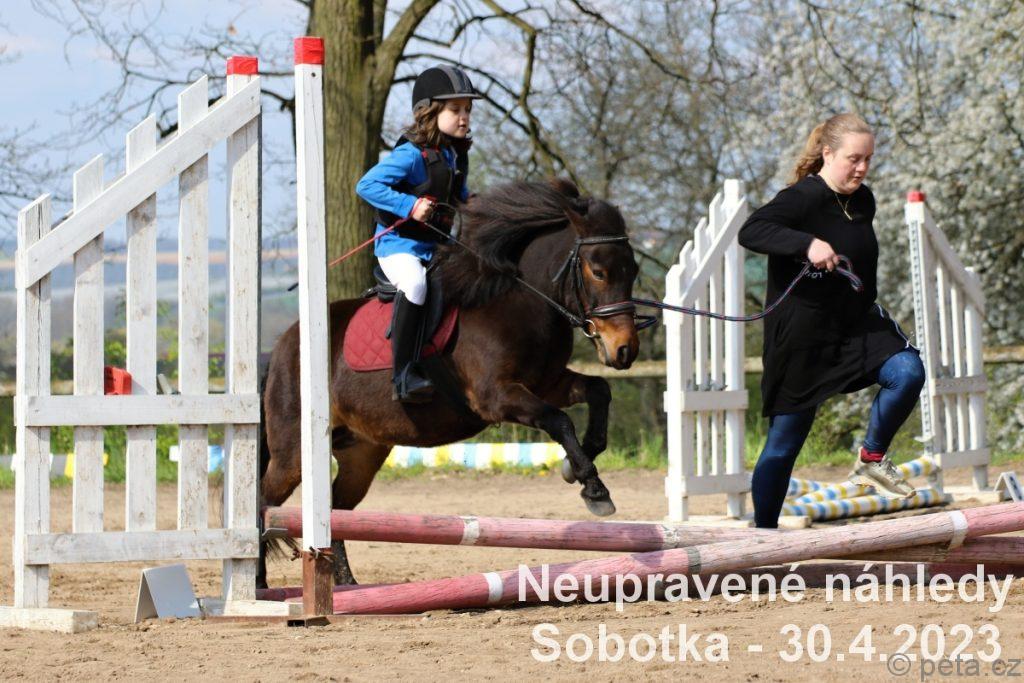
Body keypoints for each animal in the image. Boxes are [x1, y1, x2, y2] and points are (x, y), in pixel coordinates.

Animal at [258, 178, 642, 587]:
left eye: (632, 270)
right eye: (598, 271)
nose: (624, 350)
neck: (519, 301)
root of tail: (282, 344)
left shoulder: (549, 384)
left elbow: (599, 391)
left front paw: (581, 460)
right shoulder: (497, 398)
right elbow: (559, 419)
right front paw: (593, 486)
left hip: (361, 452)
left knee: (339, 509)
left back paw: (346, 584)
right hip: (294, 454)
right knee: (264, 500)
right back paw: (257, 582)